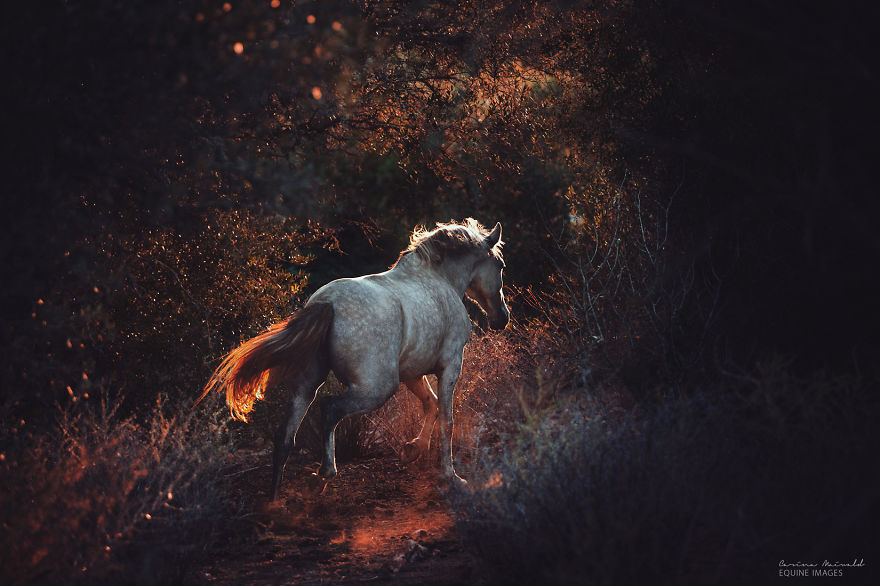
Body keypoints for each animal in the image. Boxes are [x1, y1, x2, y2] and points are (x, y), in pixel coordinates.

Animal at [198, 218, 510, 500]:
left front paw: (413, 450)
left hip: (307, 385)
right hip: (377, 388)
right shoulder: (450, 365)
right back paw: (325, 474)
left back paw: (275, 498)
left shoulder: (412, 372)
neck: (439, 279)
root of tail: (327, 303)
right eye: (501, 266)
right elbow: (447, 419)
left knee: (286, 435)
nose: (502, 319)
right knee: (329, 409)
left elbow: (430, 404)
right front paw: (451, 476)